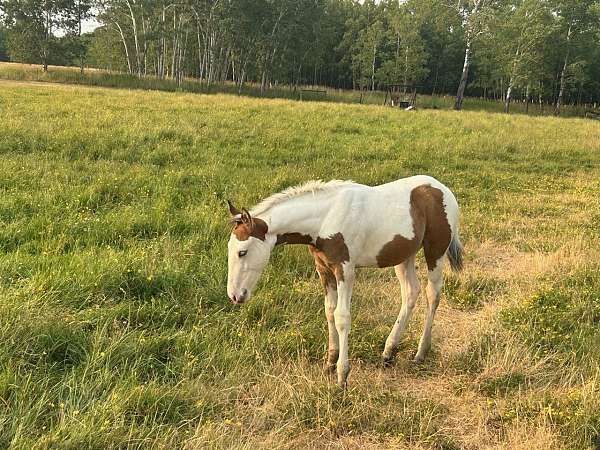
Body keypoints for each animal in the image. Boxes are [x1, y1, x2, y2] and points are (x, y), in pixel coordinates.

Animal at [226, 176, 464, 386]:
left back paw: (420, 353)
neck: (326, 218)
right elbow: (329, 311)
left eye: (242, 252)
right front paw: (330, 363)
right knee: (411, 292)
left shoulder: (345, 269)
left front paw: (342, 375)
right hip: (404, 255)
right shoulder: (323, 268)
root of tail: (443, 189)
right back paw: (388, 352)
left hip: (435, 251)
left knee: (432, 293)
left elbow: (342, 316)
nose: (235, 295)